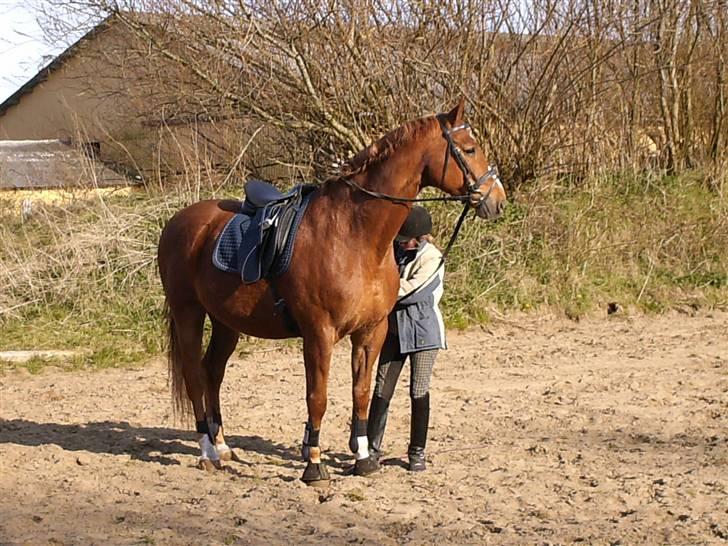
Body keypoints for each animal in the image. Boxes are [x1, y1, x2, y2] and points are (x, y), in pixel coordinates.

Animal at [156, 98, 506, 480]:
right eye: (470, 149)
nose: (498, 200)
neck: (354, 236)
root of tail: (179, 222)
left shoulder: (371, 332)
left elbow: (363, 393)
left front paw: (364, 459)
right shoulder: (319, 334)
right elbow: (318, 397)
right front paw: (313, 464)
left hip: (225, 322)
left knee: (212, 372)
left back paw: (222, 445)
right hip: (188, 313)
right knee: (194, 375)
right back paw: (207, 452)